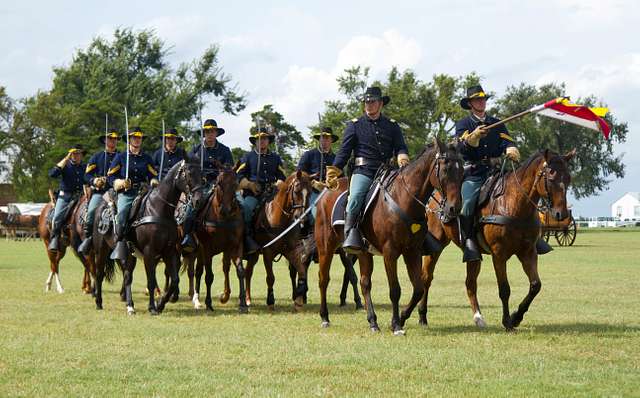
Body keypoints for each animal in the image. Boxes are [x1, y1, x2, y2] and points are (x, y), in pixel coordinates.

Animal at [91, 160, 202, 316]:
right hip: (101, 250)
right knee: (100, 274)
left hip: (129, 255)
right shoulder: (150, 252)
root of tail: (100, 207)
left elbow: (174, 280)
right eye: (189, 174)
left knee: (127, 277)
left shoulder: (169, 251)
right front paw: (152, 307)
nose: (198, 200)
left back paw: (130, 306)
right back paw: (99, 302)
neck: (159, 210)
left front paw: (160, 304)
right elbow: (151, 281)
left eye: (201, 174)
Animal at [185, 163, 248, 312]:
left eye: (235, 183)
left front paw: (243, 303)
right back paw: (196, 299)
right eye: (219, 182)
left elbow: (240, 271)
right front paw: (208, 303)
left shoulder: (236, 245)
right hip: (197, 250)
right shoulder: (207, 248)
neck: (222, 218)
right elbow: (209, 276)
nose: (225, 209)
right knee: (196, 271)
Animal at [244, 169, 314, 310]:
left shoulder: (291, 251)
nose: (303, 218)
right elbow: (270, 277)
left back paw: (248, 299)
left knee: (248, 272)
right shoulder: (268, 253)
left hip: (254, 255)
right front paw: (270, 300)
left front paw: (299, 298)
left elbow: (301, 272)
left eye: (310, 191)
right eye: (297, 190)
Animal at [312, 138, 462, 334]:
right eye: (445, 170)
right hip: (326, 248)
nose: (454, 208)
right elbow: (395, 290)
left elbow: (418, 288)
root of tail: (325, 193)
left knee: (365, 283)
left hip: (363, 252)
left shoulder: (412, 251)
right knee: (324, 279)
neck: (403, 199)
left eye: (462, 171)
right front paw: (396, 324)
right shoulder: (390, 252)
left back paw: (372, 321)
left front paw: (402, 318)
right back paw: (325, 317)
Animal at [418, 149, 576, 330]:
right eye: (551, 177)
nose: (561, 214)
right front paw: (507, 321)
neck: (514, 204)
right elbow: (504, 289)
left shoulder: (528, 252)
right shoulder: (499, 254)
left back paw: (478, 317)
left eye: (568, 178)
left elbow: (535, 285)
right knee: (426, 278)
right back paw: (422, 316)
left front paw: (516, 317)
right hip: (435, 246)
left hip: (473, 255)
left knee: (470, 283)